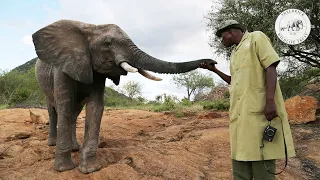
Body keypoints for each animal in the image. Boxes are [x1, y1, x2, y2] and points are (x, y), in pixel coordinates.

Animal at [32, 19, 218, 174]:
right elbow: (64, 105)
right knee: (55, 110)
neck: (90, 27)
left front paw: (90, 169)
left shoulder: (97, 72)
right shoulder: (62, 67)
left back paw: (74, 149)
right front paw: (64, 170)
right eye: (107, 44)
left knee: (74, 113)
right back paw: (53, 144)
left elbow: (96, 106)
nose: (211, 63)